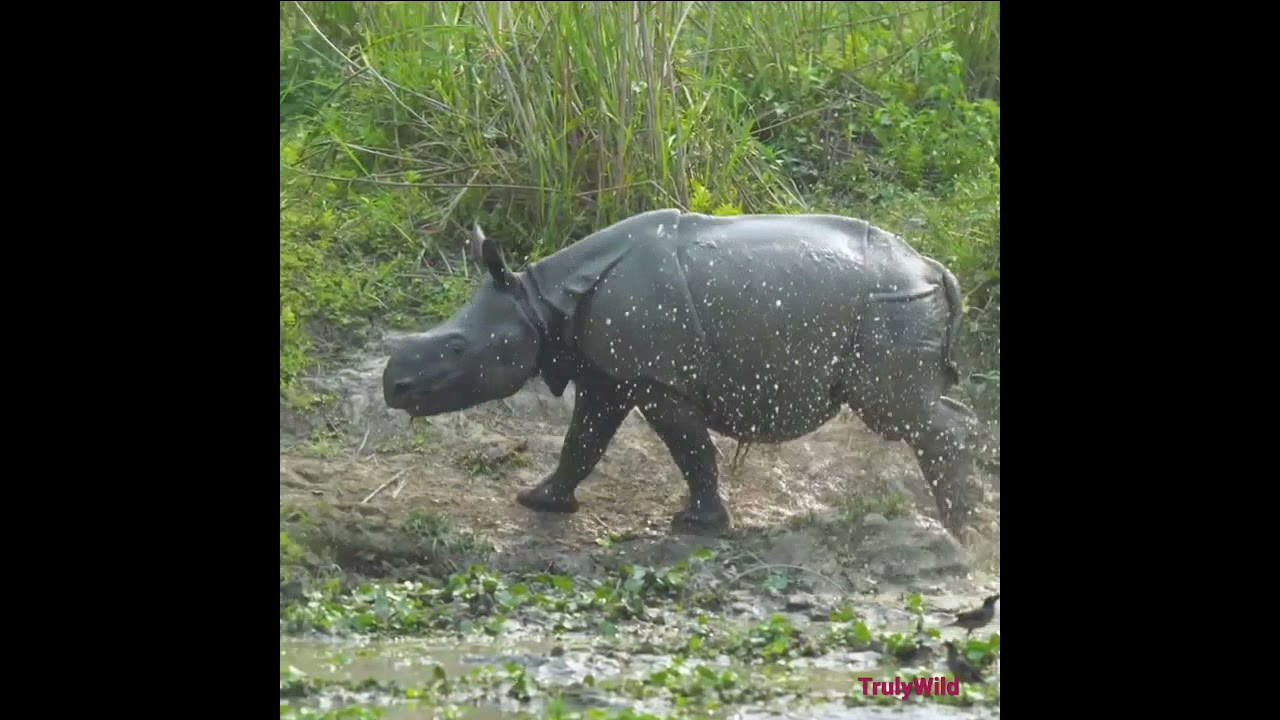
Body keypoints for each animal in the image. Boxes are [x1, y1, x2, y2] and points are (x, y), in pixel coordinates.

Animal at [383, 209, 982, 537]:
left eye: (457, 347)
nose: (394, 387)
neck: (541, 301)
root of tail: (932, 267)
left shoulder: (655, 378)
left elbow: (689, 448)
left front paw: (698, 524)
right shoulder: (608, 374)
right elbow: (582, 441)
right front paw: (539, 500)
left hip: (892, 304)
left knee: (901, 414)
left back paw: (960, 526)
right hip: (899, 301)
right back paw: (963, 522)